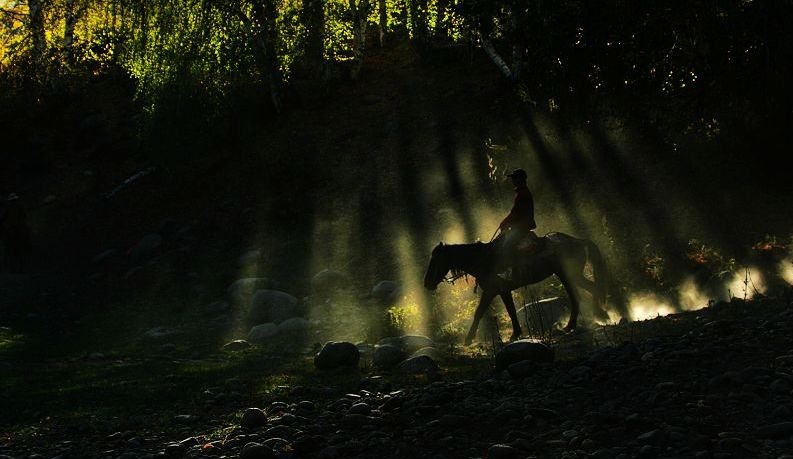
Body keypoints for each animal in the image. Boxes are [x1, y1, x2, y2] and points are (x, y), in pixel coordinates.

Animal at [424, 234, 608, 344]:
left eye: (435, 260)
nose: (426, 284)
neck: (484, 260)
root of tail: (578, 241)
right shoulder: (501, 291)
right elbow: (510, 310)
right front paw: (516, 333)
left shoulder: (492, 291)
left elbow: (480, 312)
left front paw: (469, 339)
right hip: (571, 275)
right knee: (589, 290)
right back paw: (597, 316)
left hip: (569, 275)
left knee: (580, 295)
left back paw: (579, 322)